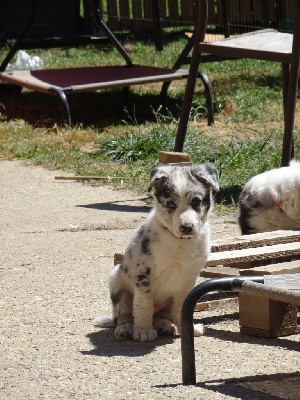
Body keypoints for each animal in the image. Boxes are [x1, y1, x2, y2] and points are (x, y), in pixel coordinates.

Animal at [95, 162, 219, 340]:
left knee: (163, 315)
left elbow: (183, 308)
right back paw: (125, 329)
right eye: (170, 204)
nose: (186, 227)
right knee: (124, 315)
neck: (179, 242)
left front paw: (188, 329)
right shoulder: (143, 276)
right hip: (117, 285)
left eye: (196, 202)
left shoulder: (188, 280)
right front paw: (143, 331)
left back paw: (165, 326)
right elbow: (144, 305)